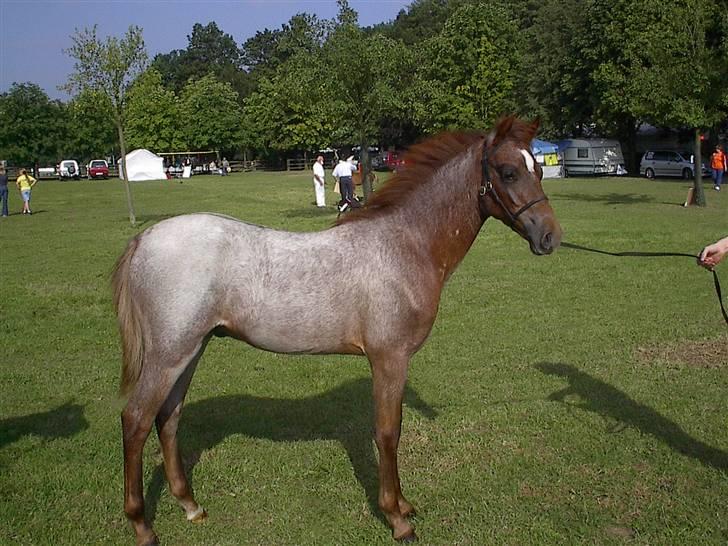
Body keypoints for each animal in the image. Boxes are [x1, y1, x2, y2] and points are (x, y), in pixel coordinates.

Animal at [111, 116, 560, 544]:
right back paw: (142, 526)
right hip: (170, 352)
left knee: (168, 418)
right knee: (136, 420)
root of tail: (145, 238)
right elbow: (388, 433)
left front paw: (405, 506)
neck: (404, 246)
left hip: (192, 349)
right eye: (507, 172)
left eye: (539, 168)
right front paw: (397, 519)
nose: (551, 237)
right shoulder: (389, 358)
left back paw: (190, 506)